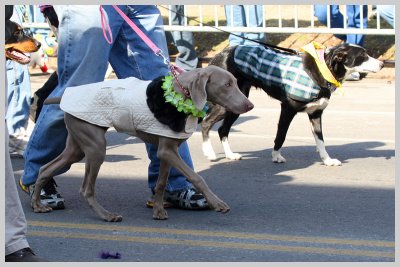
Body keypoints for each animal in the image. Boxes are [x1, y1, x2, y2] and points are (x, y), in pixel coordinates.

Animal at [32, 66, 255, 223]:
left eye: (236, 82)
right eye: (226, 85)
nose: (250, 105)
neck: (180, 94)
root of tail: (65, 97)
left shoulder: (167, 151)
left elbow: (161, 183)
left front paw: (158, 210)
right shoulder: (167, 151)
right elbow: (196, 177)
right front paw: (217, 203)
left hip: (77, 146)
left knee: (45, 168)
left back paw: (38, 205)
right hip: (96, 147)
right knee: (86, 189)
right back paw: (106, 215)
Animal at [203, 43, 384, 166]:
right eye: (363, 55)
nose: (382, 64)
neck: (321, 71)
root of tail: (220, 54)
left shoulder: (316, 113)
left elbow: (321, 141)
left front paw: (327, 160)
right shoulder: (287, 109)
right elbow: (281, 135)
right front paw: (276, 156)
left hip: (239, 103)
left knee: (222, 129)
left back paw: (230, 155)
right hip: (224, 104)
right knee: (206, 123)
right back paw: (209, 152)